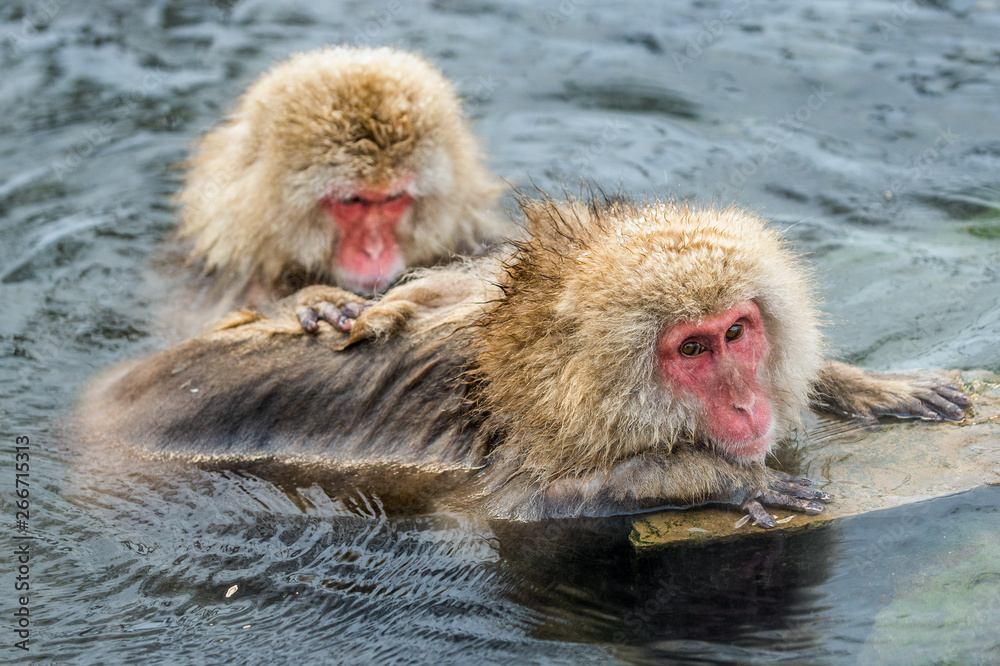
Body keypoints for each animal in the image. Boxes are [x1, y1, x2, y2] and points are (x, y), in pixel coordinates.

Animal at [75, 196, 971, 528]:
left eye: (736, 334)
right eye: (690, 349)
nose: (748, 406)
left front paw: (861, 383)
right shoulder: (517, 441)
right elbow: (523, 509)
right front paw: (711, 476)